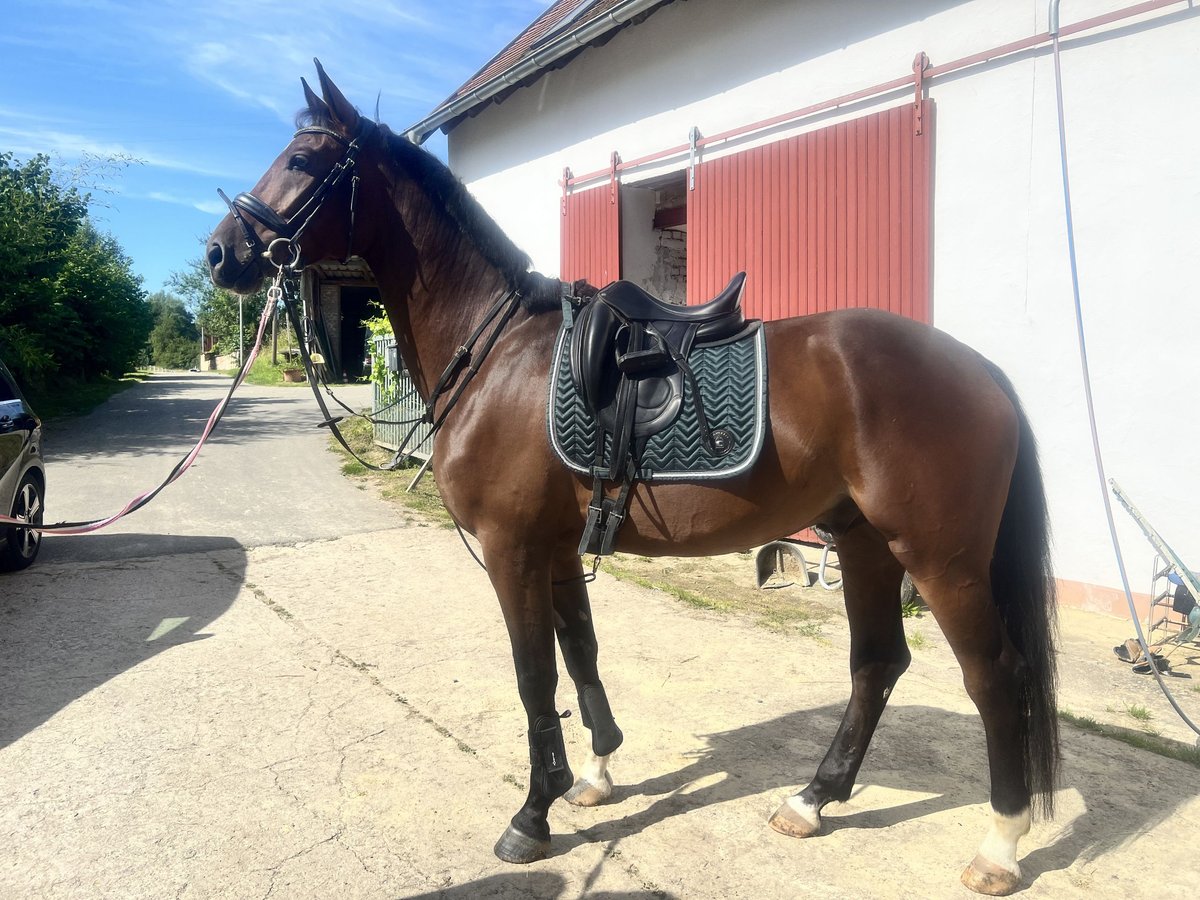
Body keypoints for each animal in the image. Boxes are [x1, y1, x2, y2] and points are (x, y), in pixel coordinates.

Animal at [208, 61, 1060, 897]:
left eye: (303, 160)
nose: (220, 253)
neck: (498, 354)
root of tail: (982, 369)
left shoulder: (512, 550)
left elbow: (533, 676)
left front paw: (533, 814)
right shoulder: (554, 548)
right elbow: (580, 653)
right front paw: (594, 774)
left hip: (940, 559)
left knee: (995, 676)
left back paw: (999, 845)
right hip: (865, 544)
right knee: (878, 663)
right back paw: (813, 800)